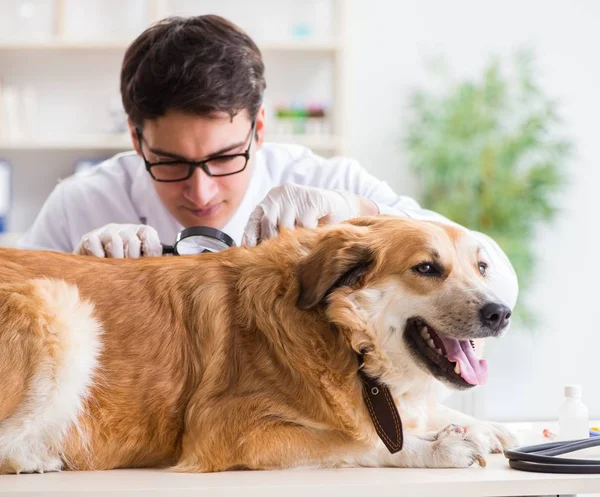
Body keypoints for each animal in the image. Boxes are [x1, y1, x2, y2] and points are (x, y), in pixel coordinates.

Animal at [0, 217, 516, 472]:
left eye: (483, 266)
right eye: (427, 268)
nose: (501, 314)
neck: (342, 336)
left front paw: (487, 428)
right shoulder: (226, 429)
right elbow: (359, 439)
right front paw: (437, 448)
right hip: (58, 305)